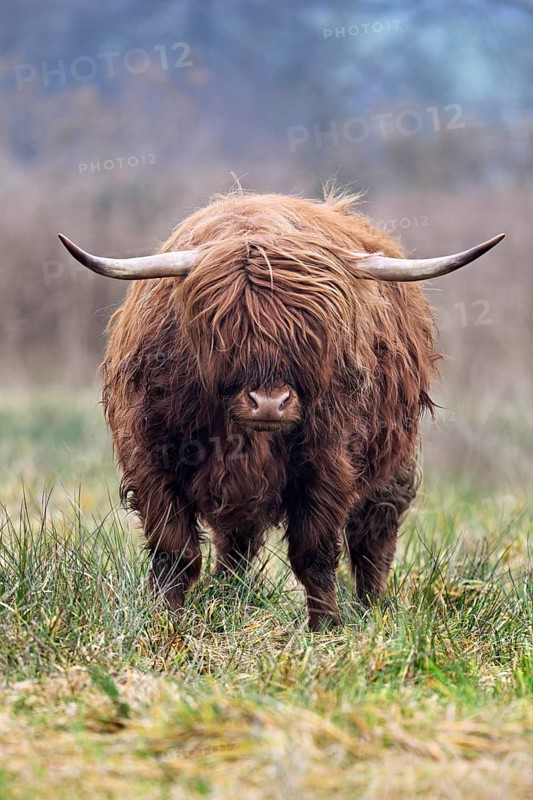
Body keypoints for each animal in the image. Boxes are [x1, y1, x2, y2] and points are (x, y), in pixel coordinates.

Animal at [59, 191, 504, 629]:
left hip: (394, 464)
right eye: (223, 328)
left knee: (373, 537)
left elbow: (314, 554)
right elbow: (174, 552)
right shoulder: (152, 459)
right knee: (235, 544)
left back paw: (372, 610)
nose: (269, 403)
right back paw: (227, 598)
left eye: (313, 334)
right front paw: (164, 622)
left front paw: (325, 628)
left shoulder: (327, 464)